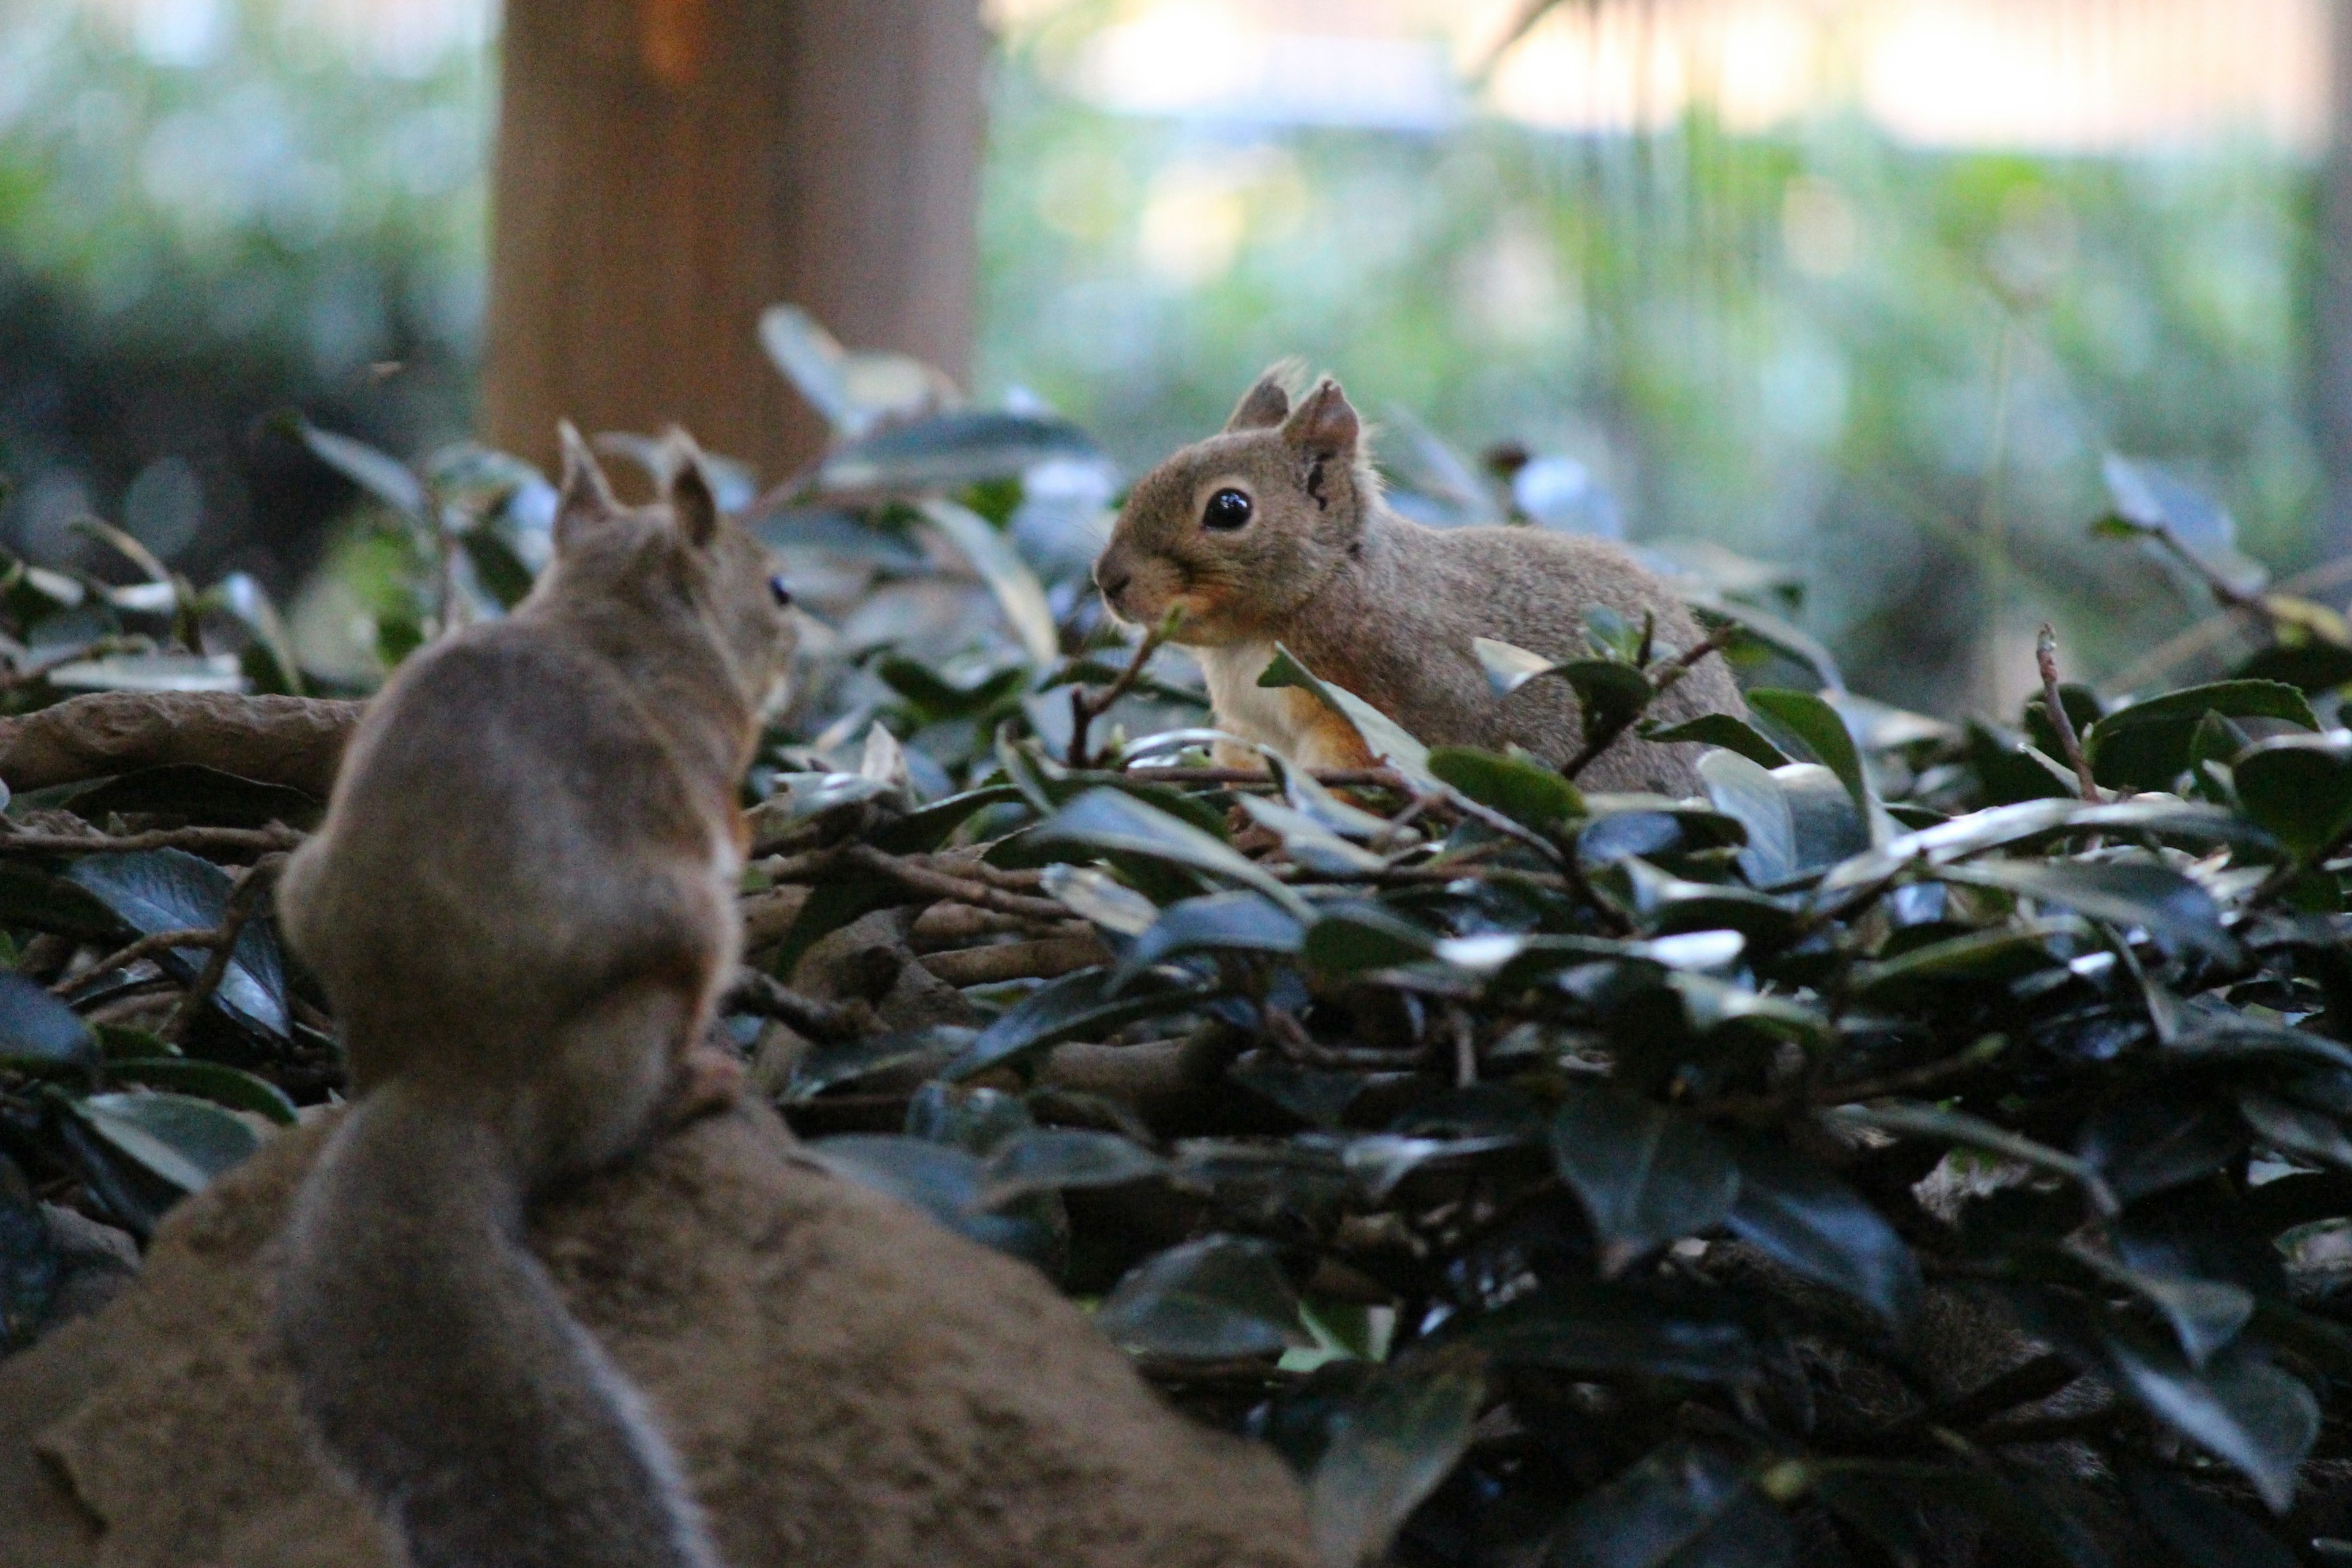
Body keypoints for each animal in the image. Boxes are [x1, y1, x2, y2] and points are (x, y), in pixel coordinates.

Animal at [270, 425, 794, 1568]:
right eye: (776, 586)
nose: (798, 644)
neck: (607, 610)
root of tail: (447, 1074)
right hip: (686, 946)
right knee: (605, 1133)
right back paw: (697, 1084)